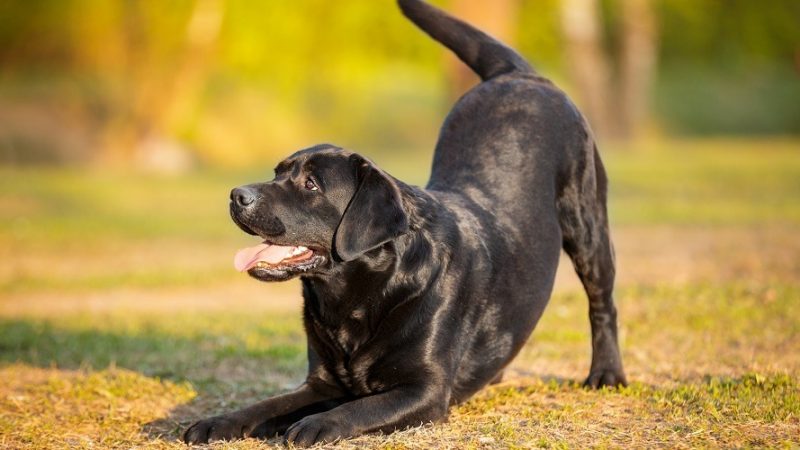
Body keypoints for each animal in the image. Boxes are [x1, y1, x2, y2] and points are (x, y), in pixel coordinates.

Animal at [183, 0, 624, 442]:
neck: (356, 297)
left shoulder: (424, 390)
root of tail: (517, 74)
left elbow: (356, 408)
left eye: (311, 184)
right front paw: (217, 421)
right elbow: (267, 405)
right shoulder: (320, 383)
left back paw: (606, 375)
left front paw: (314, 424)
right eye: (277, 173)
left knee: (602, 303)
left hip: (587, 225)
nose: (237, 195)